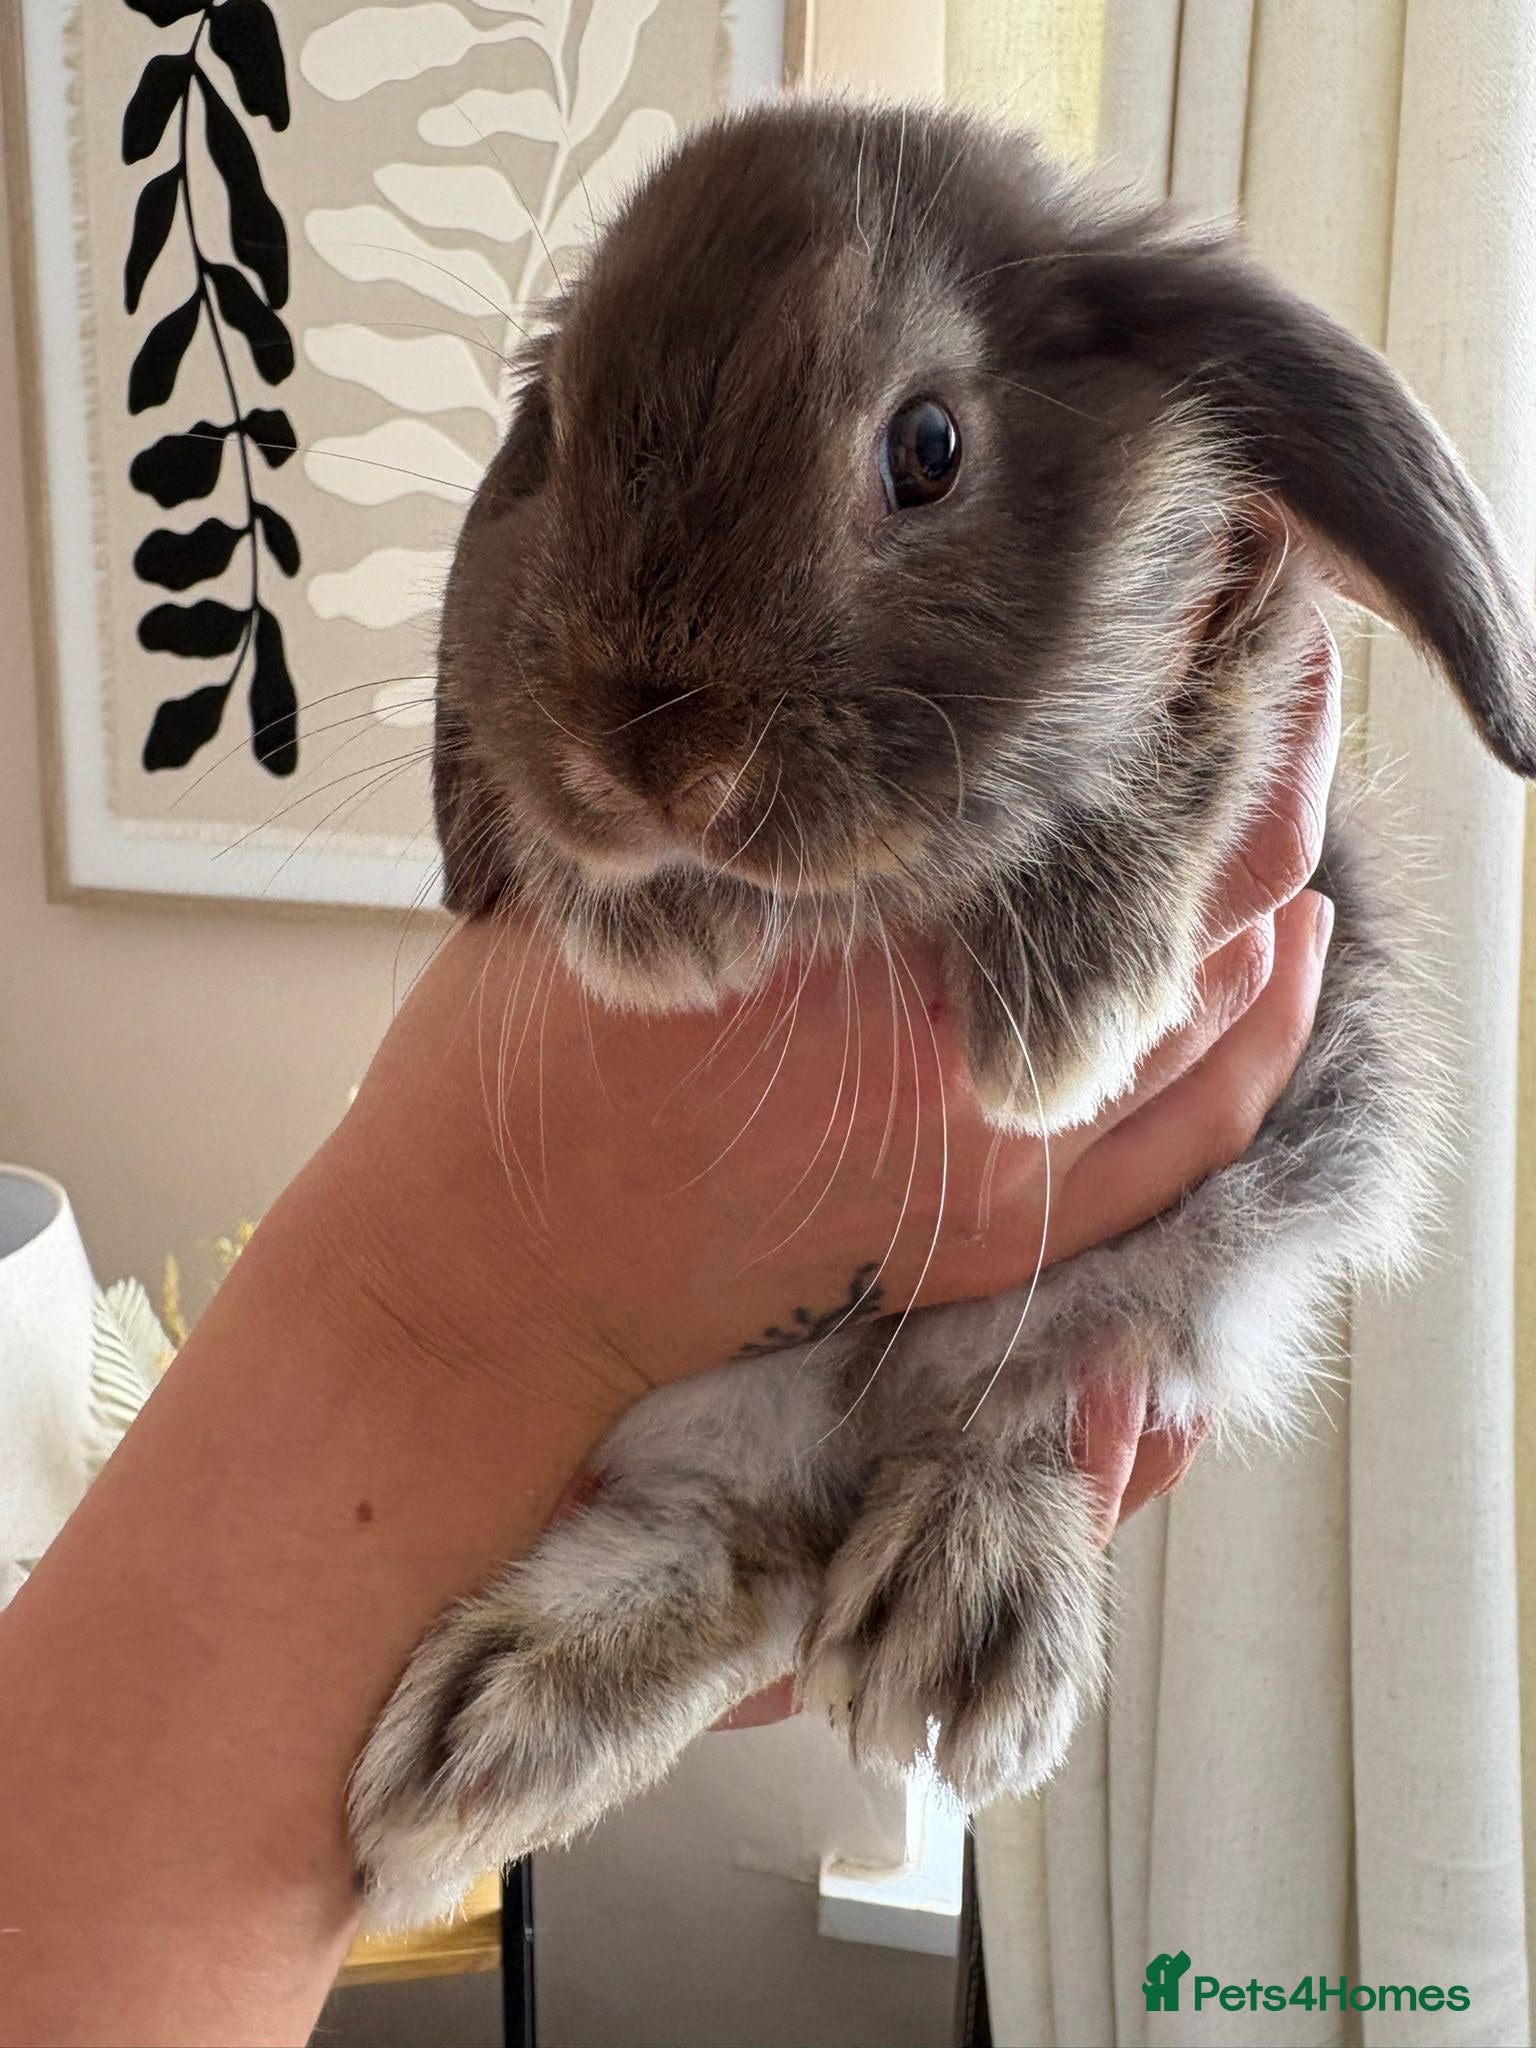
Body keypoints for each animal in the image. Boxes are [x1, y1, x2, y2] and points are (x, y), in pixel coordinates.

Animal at [348, 98, 1536, 1931]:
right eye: (554, 435)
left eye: (926, 446)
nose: (649, 762)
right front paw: (651, 923)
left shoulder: (1255, 654)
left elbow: (1193, 723)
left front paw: (1066, 1013)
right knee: (748, 1539)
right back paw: (498, 1727)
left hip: (1191, 1251)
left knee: (1012, 1412)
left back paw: (957, 1604)